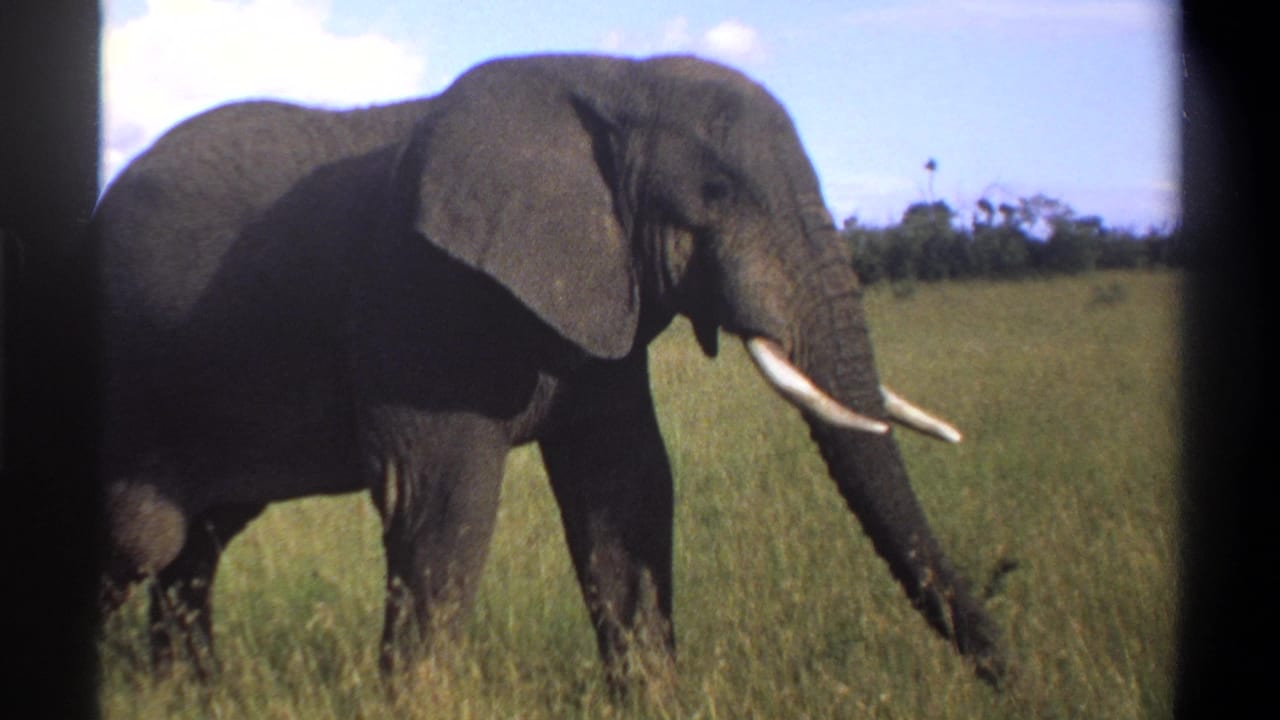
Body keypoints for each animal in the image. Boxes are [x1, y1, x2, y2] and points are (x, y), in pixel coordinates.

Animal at [94, 53, 1005, 690]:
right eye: (716, 192)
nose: (1009, 666)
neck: (613, 78)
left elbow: (627, 488)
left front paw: (653, 700)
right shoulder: (420, 300)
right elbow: (444, 503)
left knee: (191, 545)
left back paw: (190, 696)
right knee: (140, 540)